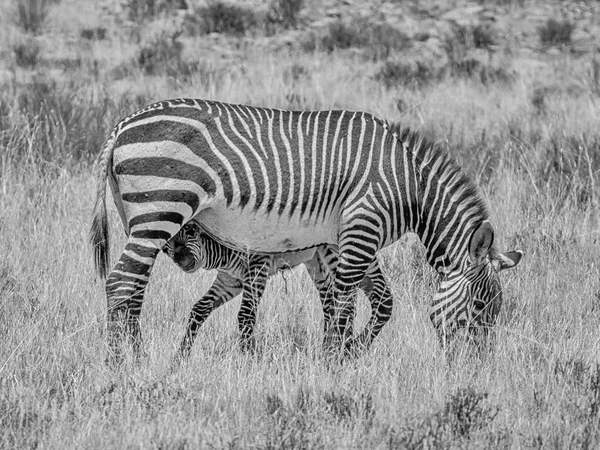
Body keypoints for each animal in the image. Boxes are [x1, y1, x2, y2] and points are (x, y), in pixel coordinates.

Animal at [162, 220, 392, 360]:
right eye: (166, 247)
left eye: (191, 232)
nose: (181, 260)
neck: (221, 252)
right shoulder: (230, 280)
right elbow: (199, 309)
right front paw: (180, 357)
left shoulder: (257, 267)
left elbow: (246, 315)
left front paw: (248, 359)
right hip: (316, 261)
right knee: (331, 303)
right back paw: (330, 348)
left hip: (338, 254)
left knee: (368, 298)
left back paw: (347, 348)